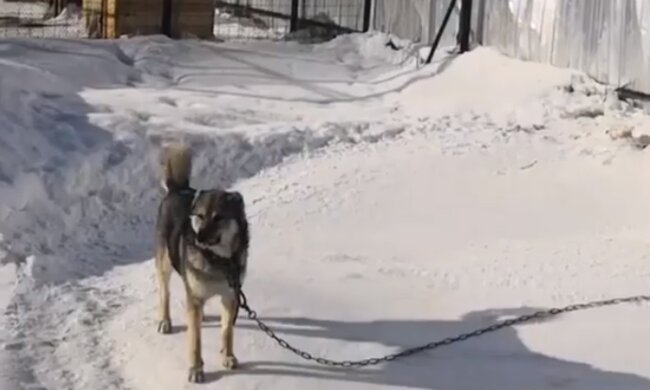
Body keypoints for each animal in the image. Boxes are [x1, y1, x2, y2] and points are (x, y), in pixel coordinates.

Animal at [153, 144, 249, 384]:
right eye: (200, 216)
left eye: (218, 217)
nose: (199, 238)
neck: (218, 260)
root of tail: (178, 189)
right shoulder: (196, 298)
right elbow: (195, 341)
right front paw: (196, 370)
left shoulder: (230, 296)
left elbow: (227, 331)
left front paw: (228, 356)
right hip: (164, 263)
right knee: (165, 293)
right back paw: (165, 321)